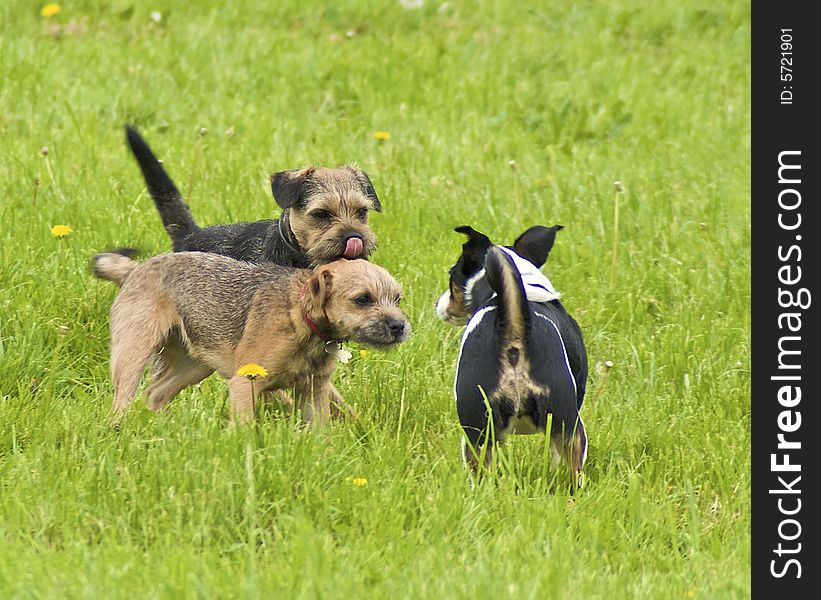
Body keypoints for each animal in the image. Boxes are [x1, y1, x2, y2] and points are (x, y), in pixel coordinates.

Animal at [438, 226, 588, 488]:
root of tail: (513, 329)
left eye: (452, 275)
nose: (441, 304)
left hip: (477, 433)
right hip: (568, 426)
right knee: (573, 472)